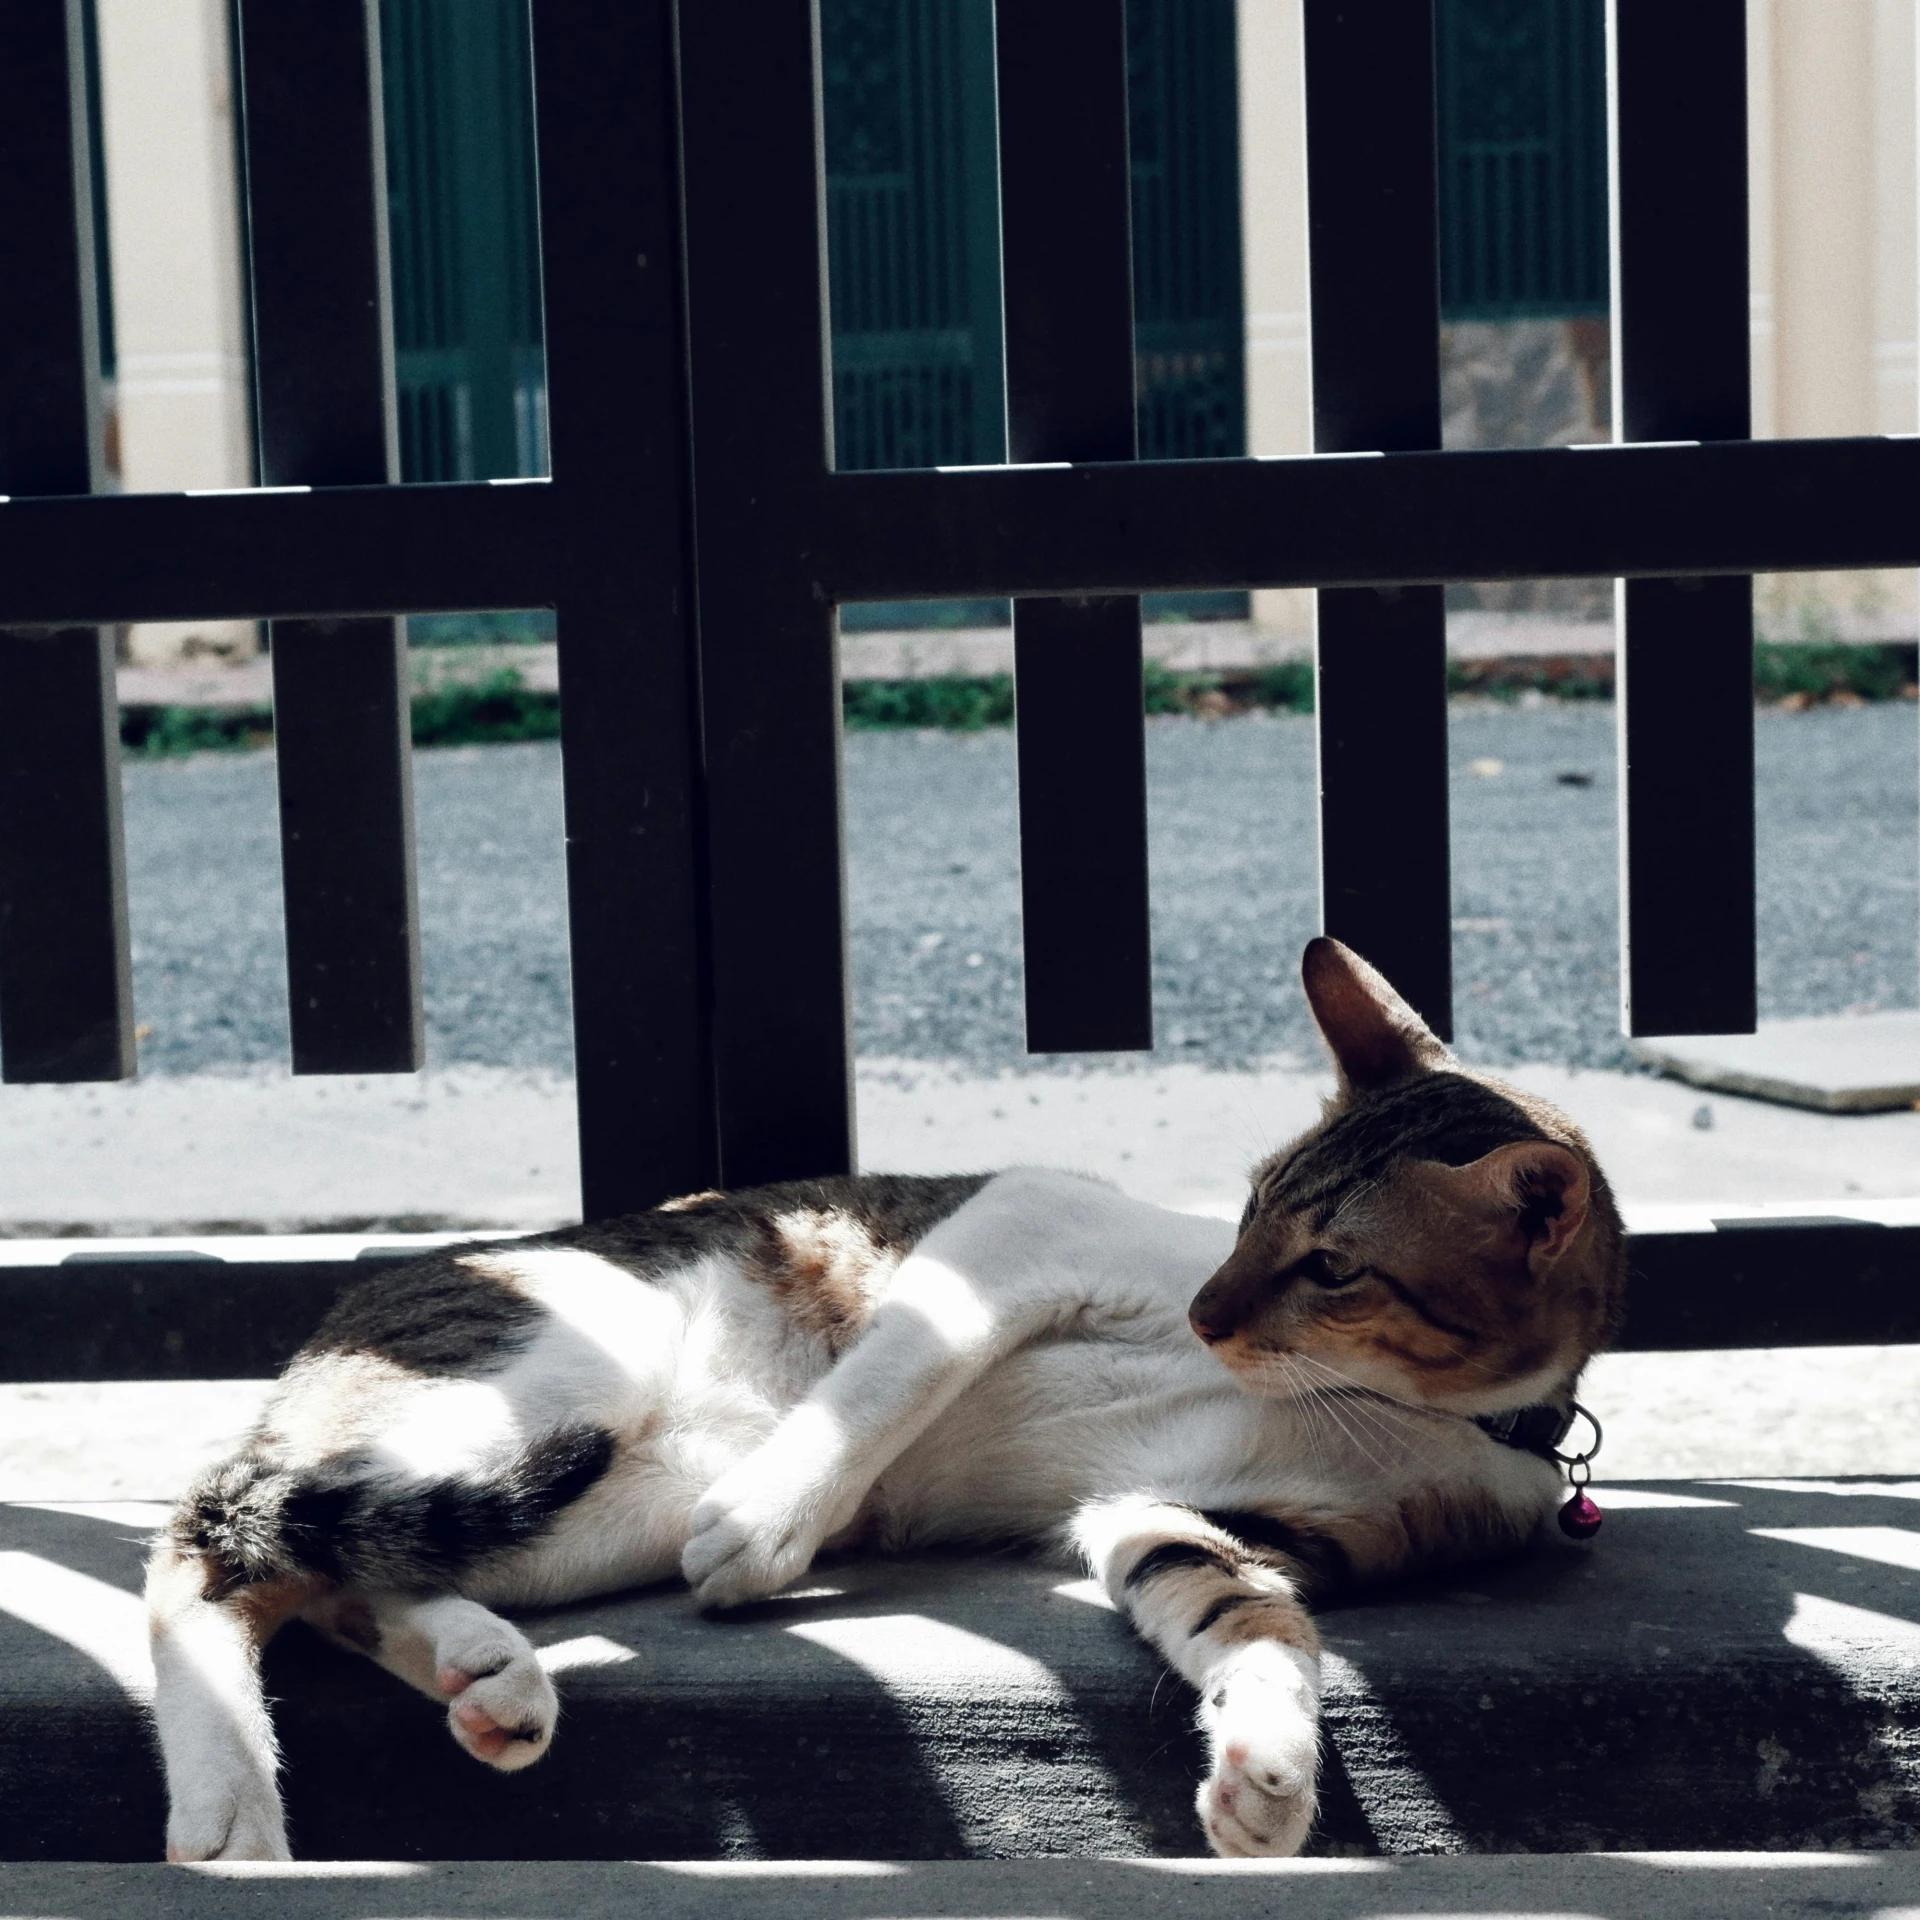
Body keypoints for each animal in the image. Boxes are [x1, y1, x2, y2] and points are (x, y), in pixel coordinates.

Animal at [142, 936, 1628, 1866]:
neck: (1379, 1406)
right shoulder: (1021, 1229)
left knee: (330, 1567)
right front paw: (766, 1527)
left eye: (1332, 1267)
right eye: (1255, 1208)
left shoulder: (1196, 1516)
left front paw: (1268, 1775)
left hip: (569, 1512)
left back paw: (481, 1673)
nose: (1211, 1311)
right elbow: (900, 1369)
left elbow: (1242, 1616)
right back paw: (232, 1812)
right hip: (560, 1388)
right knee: (204, 1540)